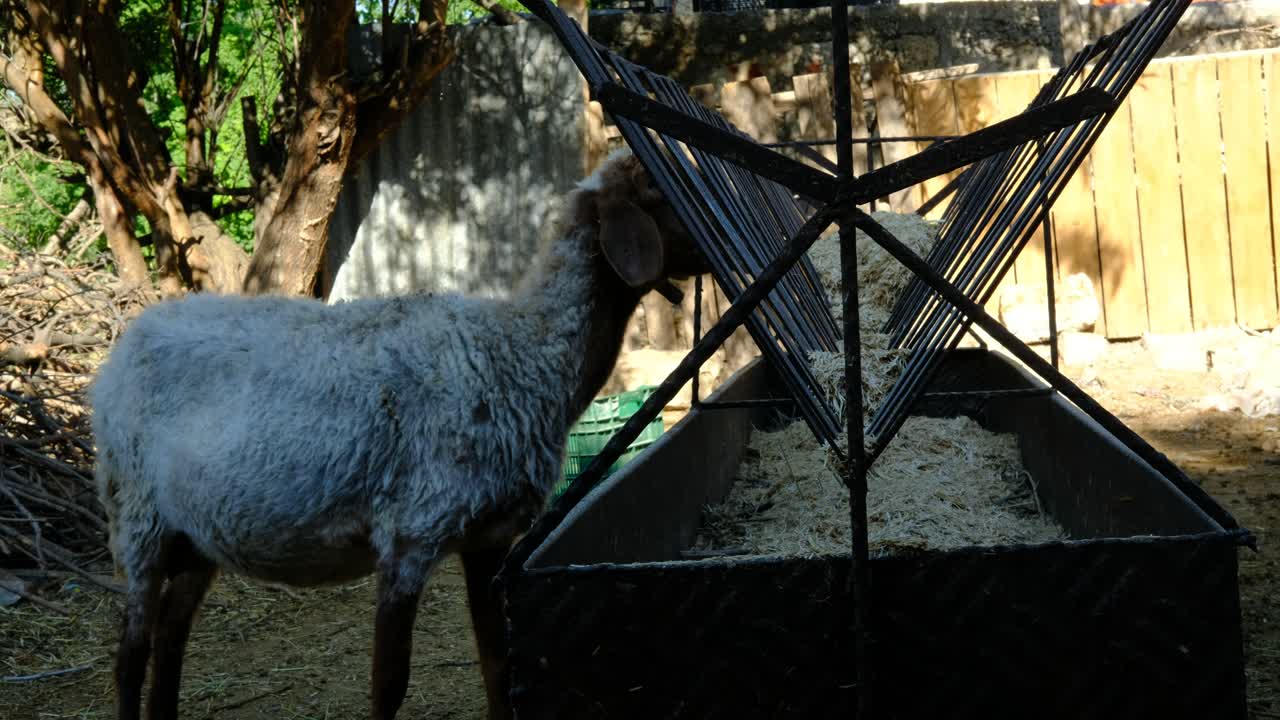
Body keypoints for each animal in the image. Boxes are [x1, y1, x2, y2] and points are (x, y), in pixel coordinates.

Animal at [89, 149, 706, 720]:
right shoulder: (413, 531)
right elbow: (390, 683)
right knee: (130, 656)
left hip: (197, 532)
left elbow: (496, 664)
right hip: (137, 514)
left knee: (170, 641)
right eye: (660, 193)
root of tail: (124, 346)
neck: (523, 354)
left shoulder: (487, 537)